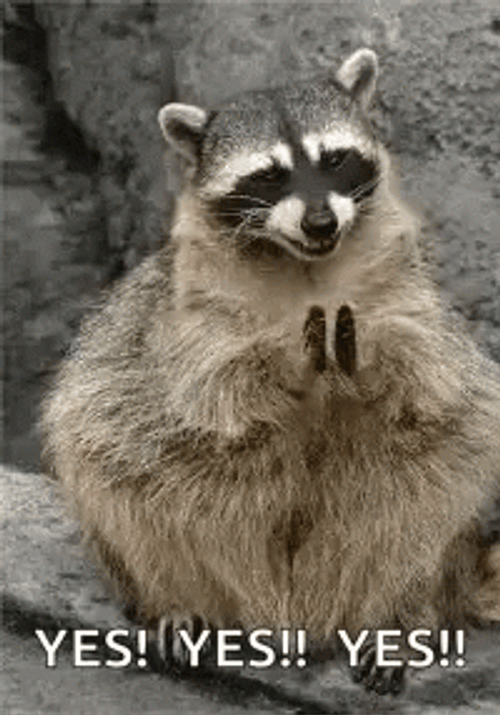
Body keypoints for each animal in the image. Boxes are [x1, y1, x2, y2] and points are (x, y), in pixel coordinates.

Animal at [42, 49, 500, 693]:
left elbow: (431, 384)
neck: (307, 264)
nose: (319, 222)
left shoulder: (409, 299)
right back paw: (174, 598)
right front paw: (285, 368)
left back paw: (399, 617)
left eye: (333, 160)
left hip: (406, 525)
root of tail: (292, 610)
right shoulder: (188, 314)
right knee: (118, 478)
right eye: (268, 176)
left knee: (427, 502)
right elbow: (210, 393)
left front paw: (370, 369)